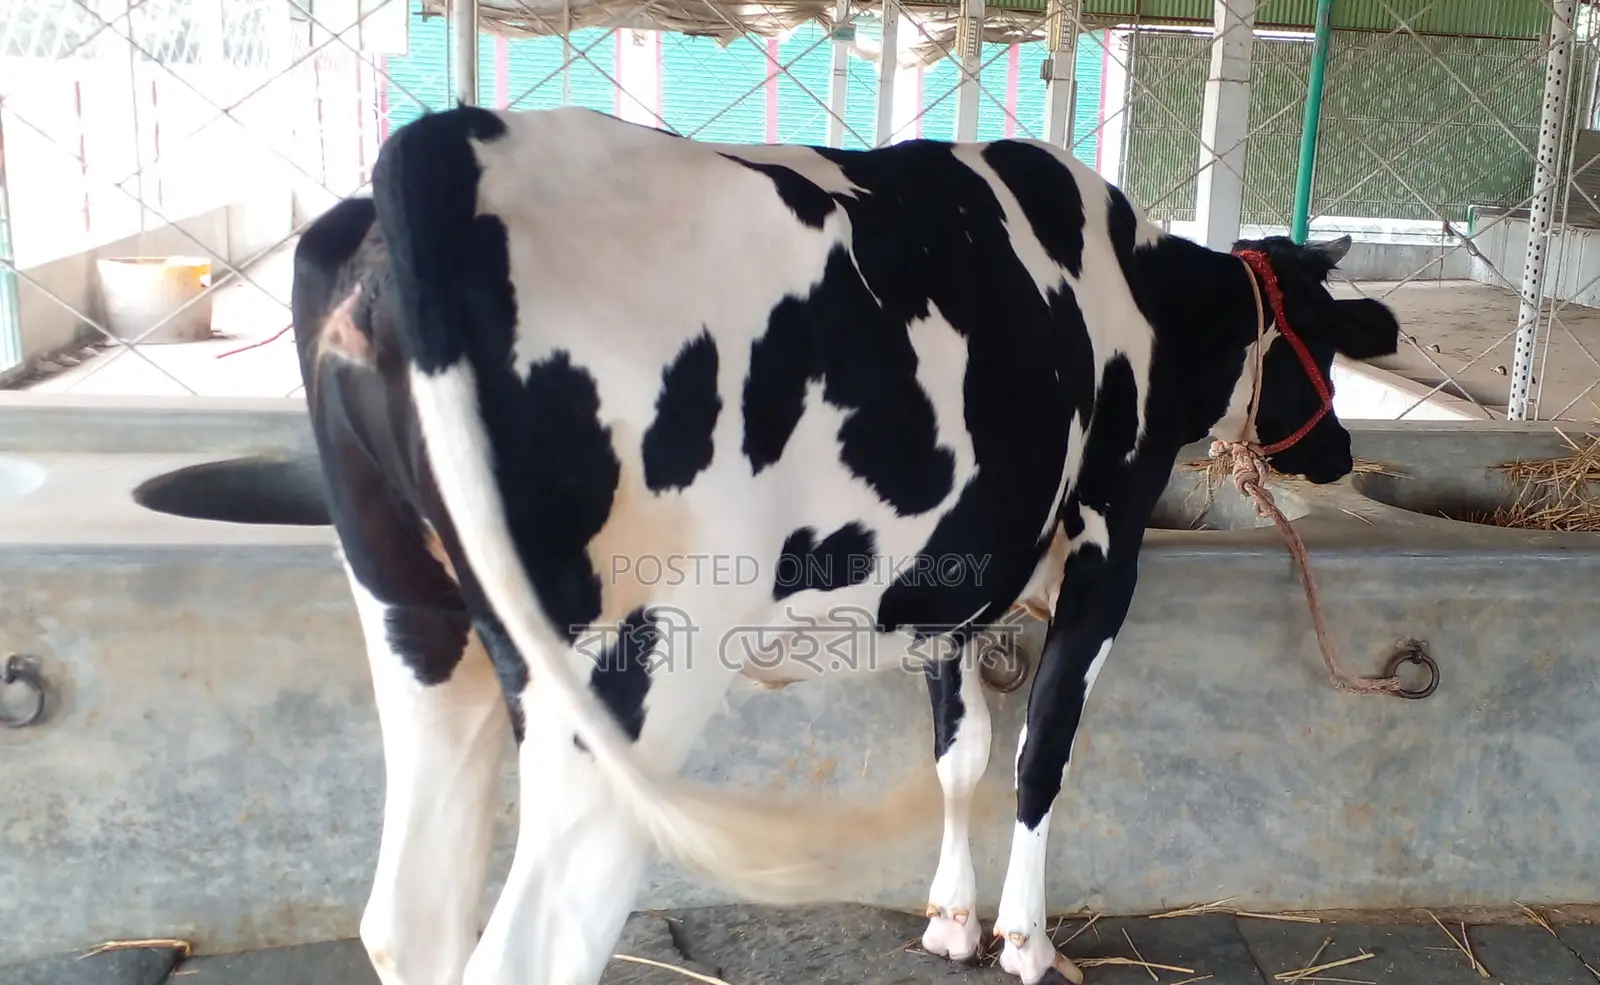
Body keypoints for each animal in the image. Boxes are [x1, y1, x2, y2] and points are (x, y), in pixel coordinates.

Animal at [291, 103, 1401, 985]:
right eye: (1323, 338)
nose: (1342, 450)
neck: (1140, 292)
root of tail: (455, 144)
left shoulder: (955, 577)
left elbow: (960, 752)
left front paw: (951, 919)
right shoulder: (1106, 542)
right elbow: (1040, 751)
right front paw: (1025, 941)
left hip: (420, 629)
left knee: (409, 919)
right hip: (637, 664)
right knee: (537, 943)